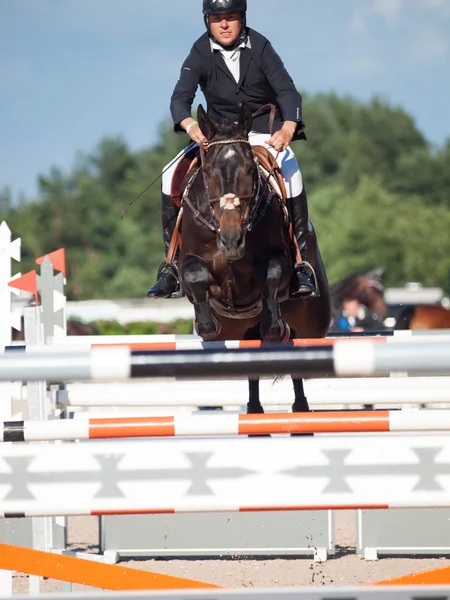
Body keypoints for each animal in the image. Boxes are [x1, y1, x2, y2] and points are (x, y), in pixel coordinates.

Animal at [178, 103, 330, 420]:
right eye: (208, 172)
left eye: (249, 170)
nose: (232, 240)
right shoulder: (190, 263)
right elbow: (196, 277)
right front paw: (206, 325)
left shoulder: (278, 262)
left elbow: (271, 276)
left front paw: (276, 328)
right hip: (240, 331)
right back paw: (254, 412)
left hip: (313, 325)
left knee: (298, 355)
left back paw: (300, 412)